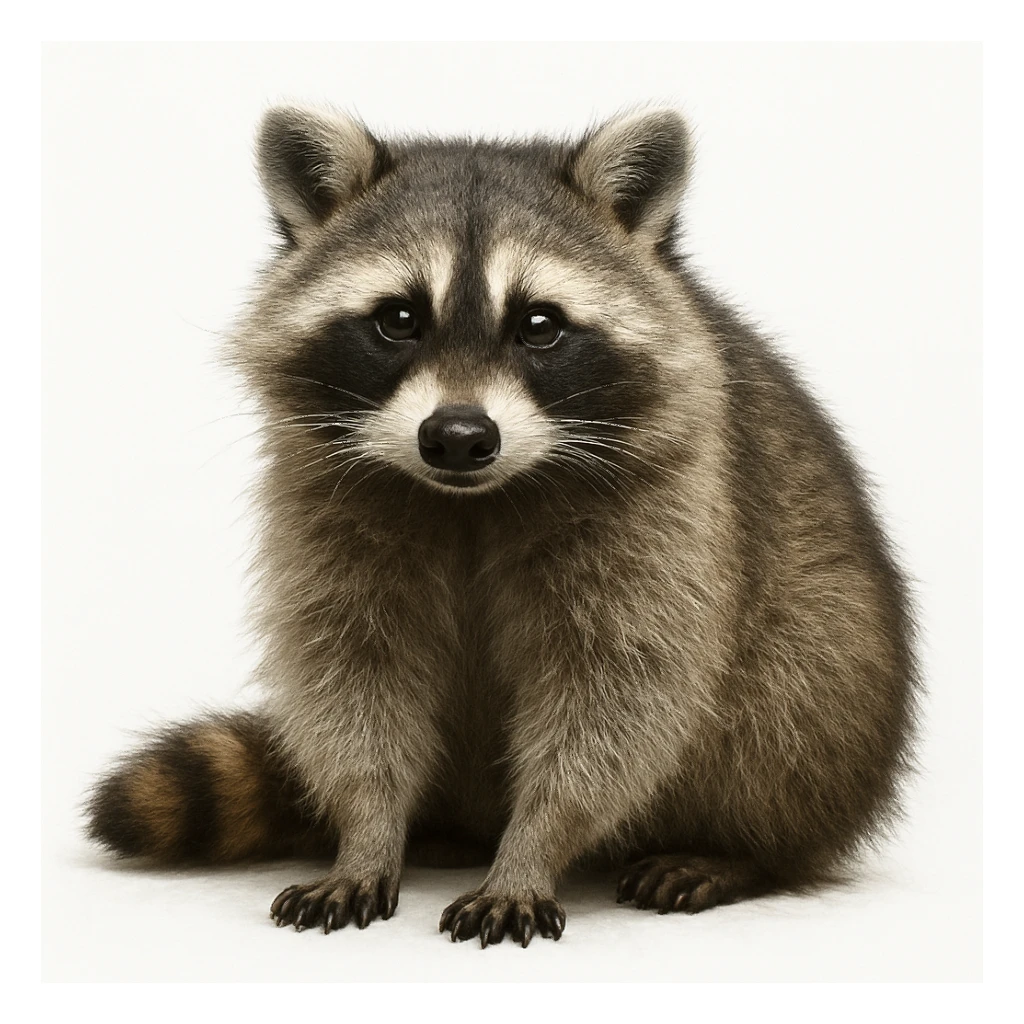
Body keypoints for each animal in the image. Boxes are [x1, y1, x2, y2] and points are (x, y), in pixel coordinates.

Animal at [86, 106, 918, 947]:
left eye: (539, 325)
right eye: (398, 320)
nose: (457, 436)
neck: (470, 497)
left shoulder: (667, 511)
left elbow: (616, 698)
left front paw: (532, 851)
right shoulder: (325, 501)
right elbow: (353, 677)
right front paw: (366, 831)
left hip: (834, 671)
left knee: (790, 698)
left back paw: (740, 850)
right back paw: (442, 831)